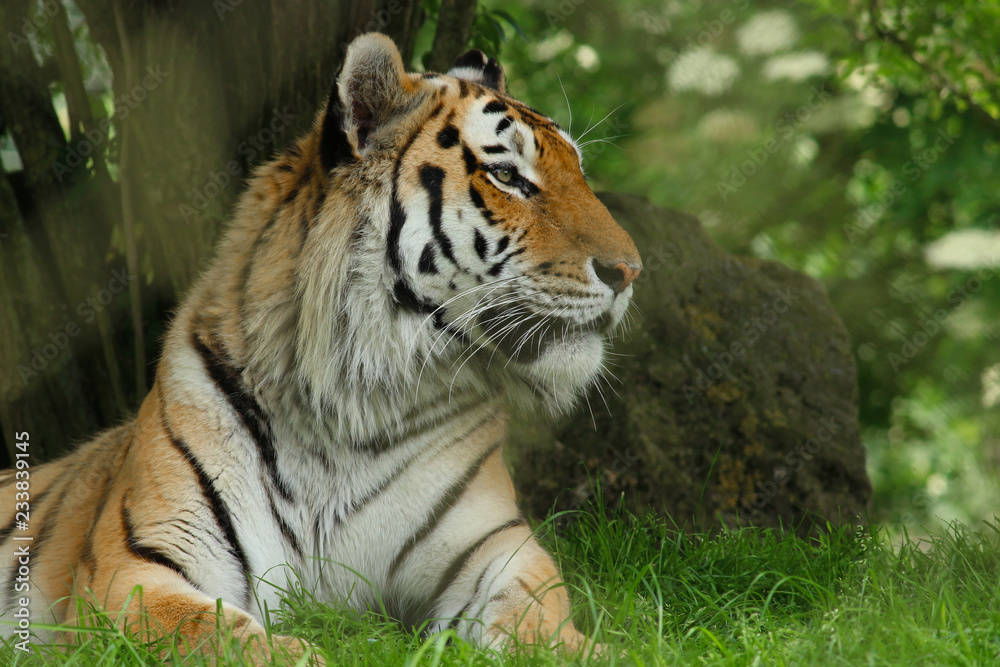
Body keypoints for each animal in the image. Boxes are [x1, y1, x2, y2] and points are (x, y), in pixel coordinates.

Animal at [0, 34, 640, 664]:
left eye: (579, 172)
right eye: (506, 175)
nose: (630, 271)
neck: (354, 407)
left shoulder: (495, 549)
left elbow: (542, 621)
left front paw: (594, 649)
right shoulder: (135, 569)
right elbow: (228, 639)